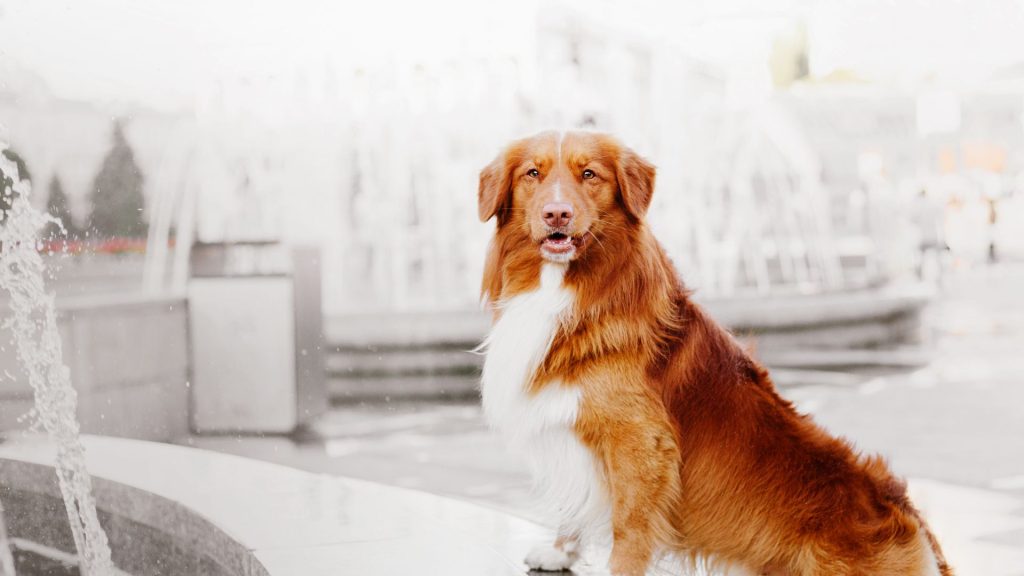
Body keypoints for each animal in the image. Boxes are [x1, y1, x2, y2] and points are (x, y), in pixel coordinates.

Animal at [475, 131, 946, 573]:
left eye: (589, 174)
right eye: (532, 174)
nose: (557, 213)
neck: (566, 289)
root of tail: (913, 521)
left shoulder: (639, 441)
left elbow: (628, 525)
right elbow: (574, 503)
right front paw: (560, 551)